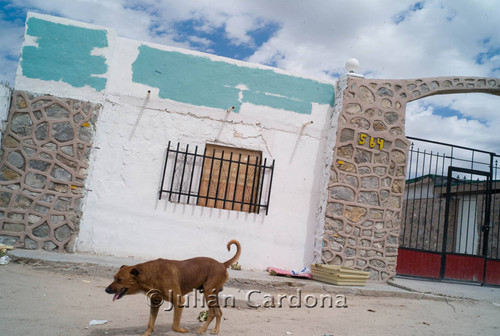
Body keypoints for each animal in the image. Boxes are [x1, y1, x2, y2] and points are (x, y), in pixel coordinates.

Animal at [104, 240, 241, 334]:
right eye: (114, 277)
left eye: (119, 280)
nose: (106, 290)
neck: (151, 274)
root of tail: (222, 264)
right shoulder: (155, 302)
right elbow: (150, 323)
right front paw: (147, 333)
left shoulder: (179, 300)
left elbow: (174, 326)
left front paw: (182, 330)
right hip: (212, 294)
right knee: (219, 312)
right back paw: (215, 330)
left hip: (208, 292)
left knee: (212, 313)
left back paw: (202, 329)